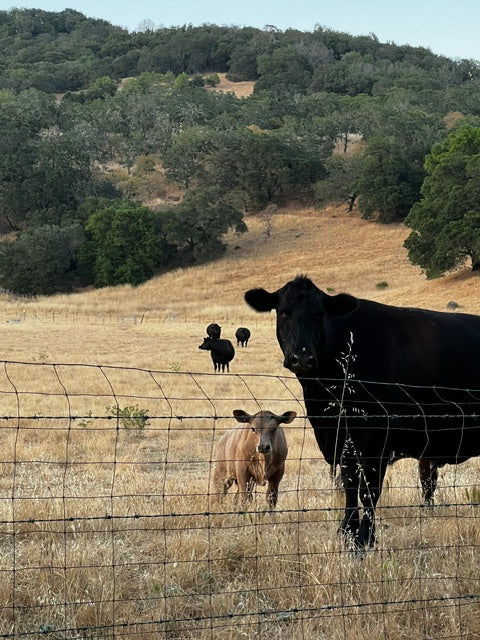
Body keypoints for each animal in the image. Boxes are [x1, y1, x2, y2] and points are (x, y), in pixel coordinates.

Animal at [245, 275, 480, 548]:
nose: (302, 358)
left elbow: (368, 489)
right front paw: (347, 530)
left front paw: (365, 538)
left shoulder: (375, 437)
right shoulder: (344, 440)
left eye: (319, 314)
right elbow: (349, 484)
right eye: (283, 312)